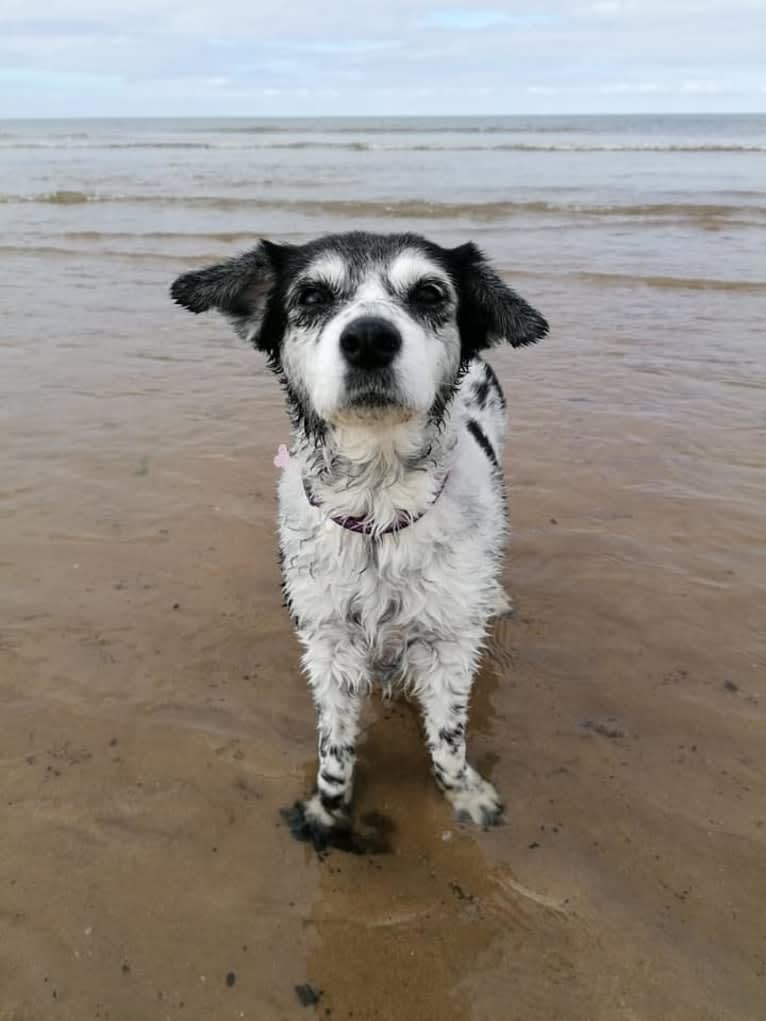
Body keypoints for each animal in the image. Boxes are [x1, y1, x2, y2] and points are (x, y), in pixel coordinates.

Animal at [170, 234, 547, 849]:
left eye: (429, 293)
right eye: (311, 295)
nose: (369, 338)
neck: (377, 509)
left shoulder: (449, 645)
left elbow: (448, 740)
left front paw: (466, 794)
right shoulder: (327, 643)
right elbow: (334, 747)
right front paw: (327, 809)